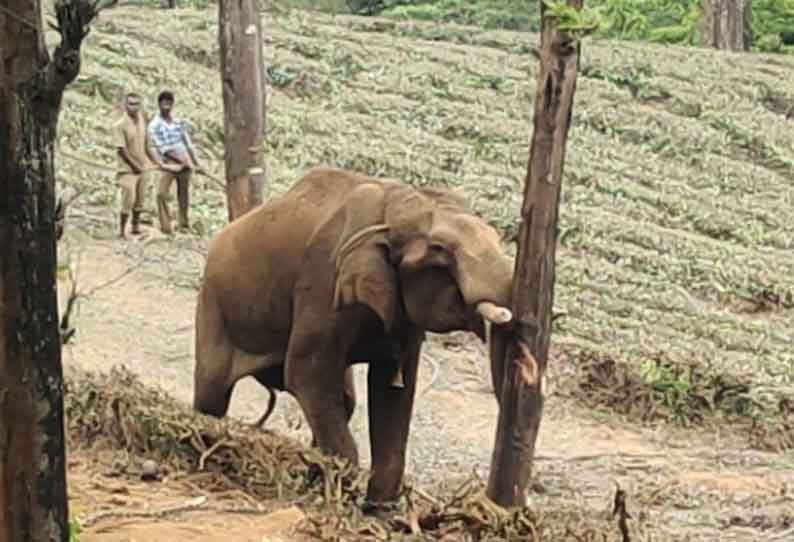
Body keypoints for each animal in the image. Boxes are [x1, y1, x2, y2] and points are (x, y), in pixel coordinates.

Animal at [193, 168, 512, 508]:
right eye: (441, 252)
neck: (391, 206)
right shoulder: (323, 282)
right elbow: (306, 373)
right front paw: (341, 497)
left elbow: (393, 389)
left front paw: (378, 510)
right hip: (213, 305)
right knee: (212, 391)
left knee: (345, 400)